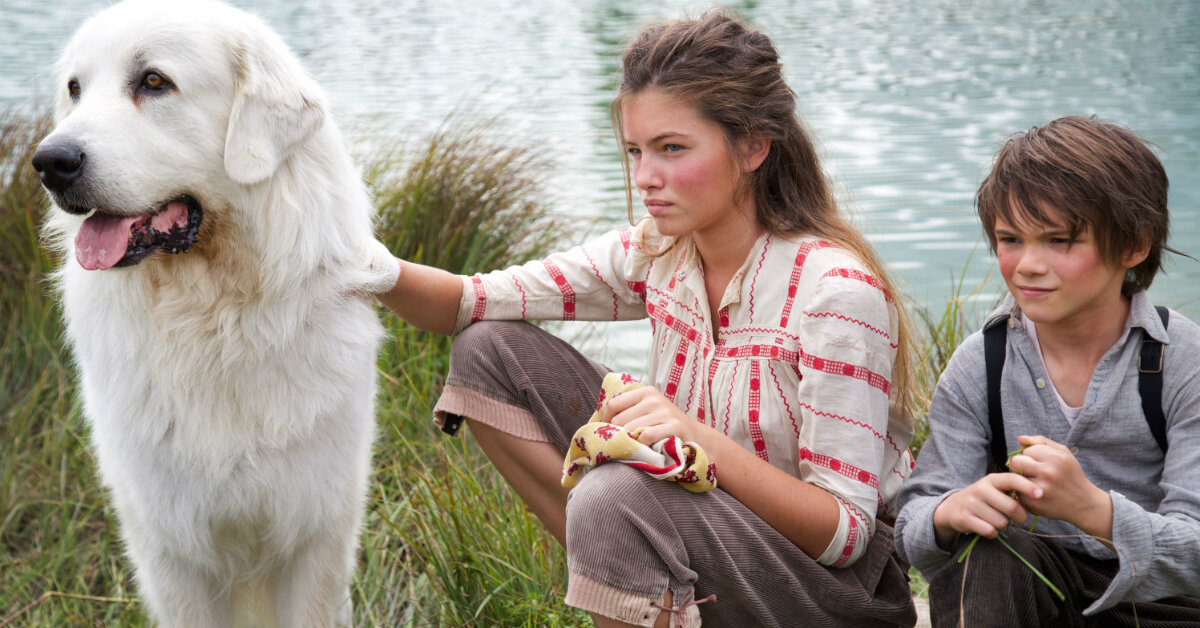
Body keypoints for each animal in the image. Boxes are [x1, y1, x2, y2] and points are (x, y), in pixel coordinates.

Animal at [30, 2, 398, 624]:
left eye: (154, 82)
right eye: (75, 90)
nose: (49, 162)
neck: (214, 320)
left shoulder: (314, 532)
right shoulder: (171, 550)